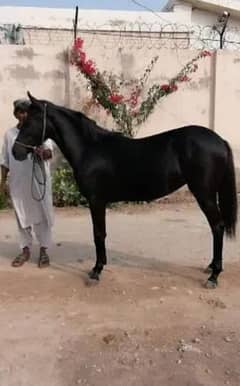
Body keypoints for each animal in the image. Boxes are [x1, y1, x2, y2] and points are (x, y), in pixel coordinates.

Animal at [11, 92, 238, 286]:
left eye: (29, 122)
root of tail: (220, 140)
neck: (90, 148)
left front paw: (96, 271)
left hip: (204, 193)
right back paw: (210, 267)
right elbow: (100, 234)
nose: (16, 152)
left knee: (217, 226)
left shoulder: (96, 200)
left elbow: (98, 234)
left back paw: (214, 276)